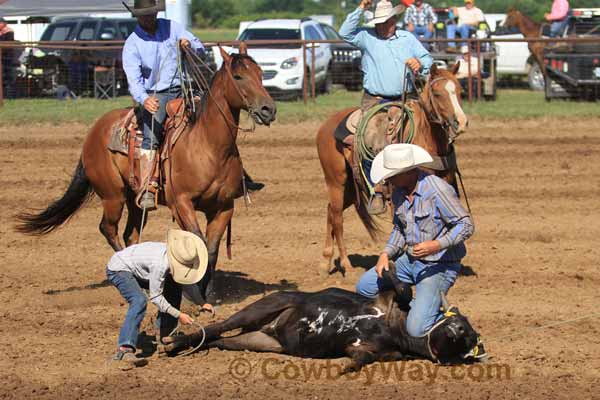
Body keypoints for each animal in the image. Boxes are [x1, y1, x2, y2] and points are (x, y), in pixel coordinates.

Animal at [16, 44, 278, 306]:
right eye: (238, 76)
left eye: (260, 74)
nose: (269, 109)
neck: (207, 145)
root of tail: (94, 131)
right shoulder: (181, 203)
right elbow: (197, 243)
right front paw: (192, 295)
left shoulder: (224, 207)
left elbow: (211, 249)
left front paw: (210, 296)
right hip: (112, 196)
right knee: (108, 229)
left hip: (135, 200)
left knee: (130, 234)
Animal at [316, 64, 466, 276]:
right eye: (437, 94)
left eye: (460, 91)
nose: (461, 122)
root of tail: (325, 126)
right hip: (336, 182)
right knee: (337, 218)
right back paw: (347, 265)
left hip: (350, 189)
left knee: (330, 210)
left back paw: (325, 262)